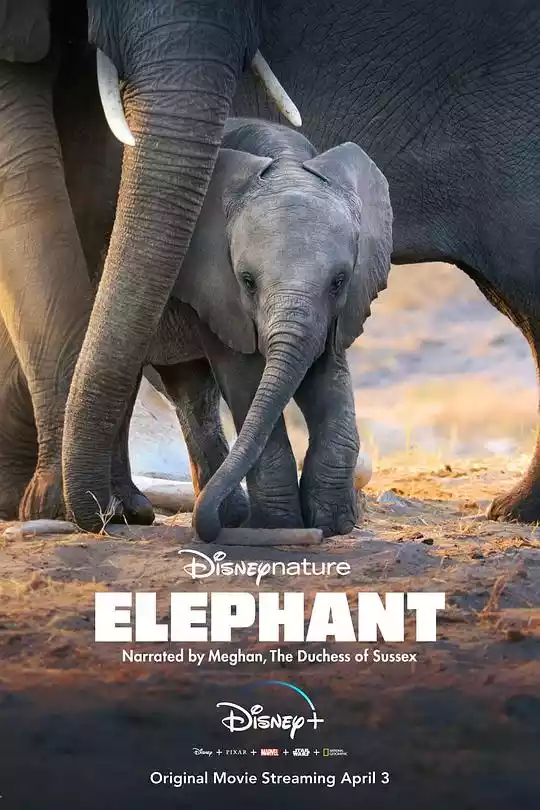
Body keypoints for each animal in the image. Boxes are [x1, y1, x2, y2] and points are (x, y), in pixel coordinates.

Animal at [0, 116, 392, 539]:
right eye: (247, 281)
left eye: (339, 281)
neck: (285, 160)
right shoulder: (217, 287)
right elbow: (246, 378)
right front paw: (278, 525)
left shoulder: (340, 308)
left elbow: (327, 377)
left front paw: (332, 524)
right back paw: (132, 511)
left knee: (191, 390)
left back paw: (225, 514)